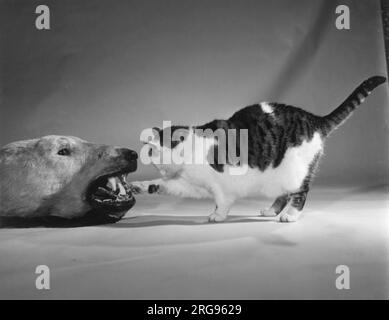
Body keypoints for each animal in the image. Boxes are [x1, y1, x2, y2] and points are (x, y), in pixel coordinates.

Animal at [130, 77, 384, 222]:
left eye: (152, 156)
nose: (160, 169)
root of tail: (314, 119)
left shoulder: (222, 185)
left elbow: (222, 201)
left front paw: (218, 215)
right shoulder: (190, 184)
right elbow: (162, 186)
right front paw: (138, 186)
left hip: (296, 170)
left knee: (300, 193)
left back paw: (290, 216)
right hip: (279, 175)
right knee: (285, 194)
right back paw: (272, 211)